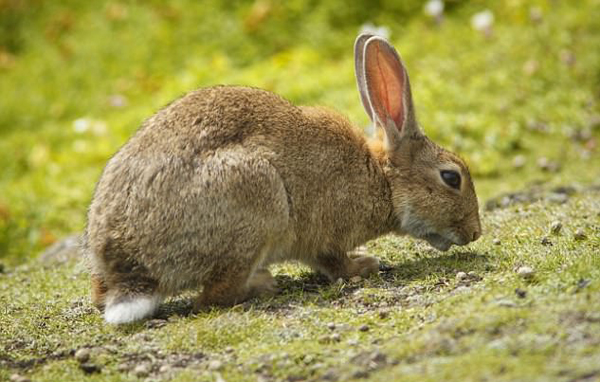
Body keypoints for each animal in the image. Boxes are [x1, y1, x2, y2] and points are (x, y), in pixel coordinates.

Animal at [83, 33, 482, 326]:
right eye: (451, 177)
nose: (476, 232)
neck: (381, 179)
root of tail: (129, 269)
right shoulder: (323, 234)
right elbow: (333, 262)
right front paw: (364, 265)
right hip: (258, 203)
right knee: (212, 297)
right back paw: (261, 284)